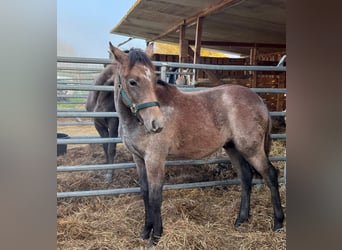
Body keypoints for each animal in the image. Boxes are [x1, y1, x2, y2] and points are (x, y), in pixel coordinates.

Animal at [109, 42, 284, 246]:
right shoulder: (138, 159)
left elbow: (155, 196)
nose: (157, 124)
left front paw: (155, 237)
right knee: (246, 177)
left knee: (270, 175)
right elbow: (145, 193)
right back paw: (241, 220)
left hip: (252, 149)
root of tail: (259, 100)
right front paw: (145, 231)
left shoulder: (155, 160)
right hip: (233, 148)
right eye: (132, 82)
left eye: (153, 79)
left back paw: (278, 223)